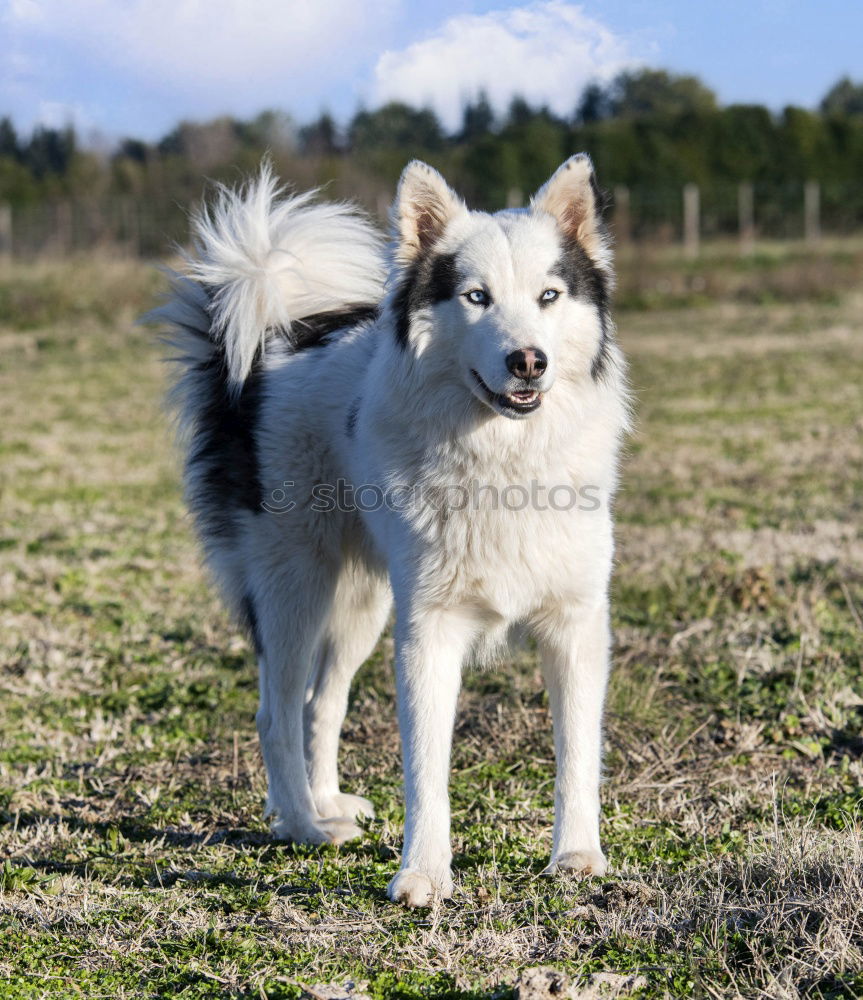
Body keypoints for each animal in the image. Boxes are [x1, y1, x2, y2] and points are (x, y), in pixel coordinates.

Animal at [155, 154, 628, 908]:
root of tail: (265, 347)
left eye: (550, 296)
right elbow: (425, 768)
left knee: (320, 702)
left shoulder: (576, 625)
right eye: (475, 297)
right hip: (295, 589)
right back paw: (304, 826)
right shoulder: (427, 631)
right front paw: (423, 875)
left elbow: (576, 753)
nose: (528, 360)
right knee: (276, 711)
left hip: (361, 603)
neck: (503, 455)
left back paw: (325, 804)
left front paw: (577, 856)